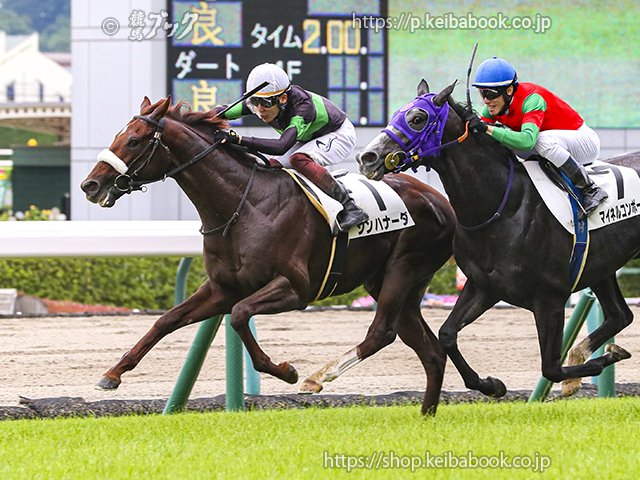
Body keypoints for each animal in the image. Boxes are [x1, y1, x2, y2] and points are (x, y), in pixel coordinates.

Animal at [79, 96, 456, 414]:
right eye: (119, 135)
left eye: (135, 141)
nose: (90, 185)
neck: (244, 204)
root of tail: (442, 201)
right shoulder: (222, 288)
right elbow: (166, 320)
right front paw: (113, 373)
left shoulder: (295, 288)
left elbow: (239, 315)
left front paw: (287, 372)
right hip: (392, 283)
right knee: (429, 350)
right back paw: (427, 413)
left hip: (403, 268)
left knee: (382, 332)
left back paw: (317, 378)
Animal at [357, 79, 637, 399]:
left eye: (418, 118)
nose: (367, 157)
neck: (504, 207)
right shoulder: (483, 286)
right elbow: (447, 335)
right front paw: (490, 385)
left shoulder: (550, 298)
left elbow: (551, 367)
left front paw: (596, 365)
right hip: (602, 268)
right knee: (620, 315)